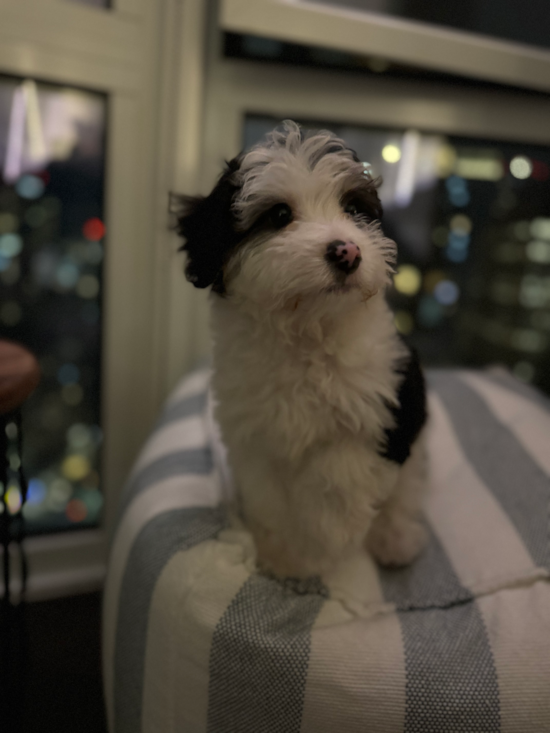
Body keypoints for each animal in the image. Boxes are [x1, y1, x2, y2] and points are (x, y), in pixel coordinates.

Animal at [175, 120, 430, 576]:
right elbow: (271, 496)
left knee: (407, 489)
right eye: (279, 216)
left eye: (354, 210)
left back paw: (394, 538)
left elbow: (335, 475)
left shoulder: (381, 410)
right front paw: (283, 554)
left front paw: (323, 543)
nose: (348, 250)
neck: (307, 335)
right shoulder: (254, 435)